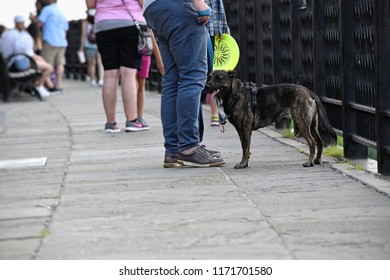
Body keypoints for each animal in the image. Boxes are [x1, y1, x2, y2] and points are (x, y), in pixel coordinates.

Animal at [206, 70, 336, 168]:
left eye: (219, 78)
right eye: (209, 77)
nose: (206, 86)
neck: (235, 94)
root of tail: (309, 91)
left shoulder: (245, 129)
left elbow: (245, 148)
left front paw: (242, 164)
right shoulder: (241, 130)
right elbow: (245, 147)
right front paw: (245, 162)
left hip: (302, 122)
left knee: (312, 142)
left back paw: (309, 162)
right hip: (312, 124)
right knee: (320, 142)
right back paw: (317, 160)